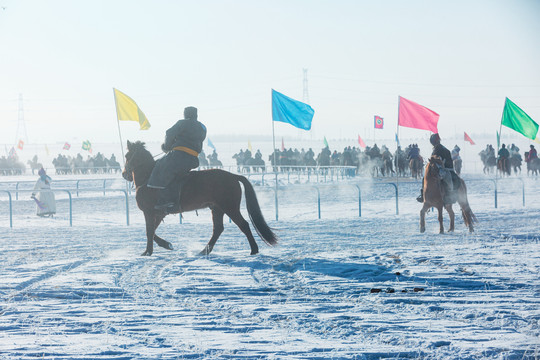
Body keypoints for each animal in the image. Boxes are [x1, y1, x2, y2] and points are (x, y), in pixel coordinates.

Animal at [120, 140, 276, 256]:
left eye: (127, 155)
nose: (124, 174)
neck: (147, 177)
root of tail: (232, 176)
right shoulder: (158, 214)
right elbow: (153, 232)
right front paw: (166, 245)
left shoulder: (149, 212)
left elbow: (149, 231)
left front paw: (148, 252)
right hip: (217, 208)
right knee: (218, 229)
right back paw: (204, 251)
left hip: (230, 208)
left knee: (243, 225)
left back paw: (254, 250)